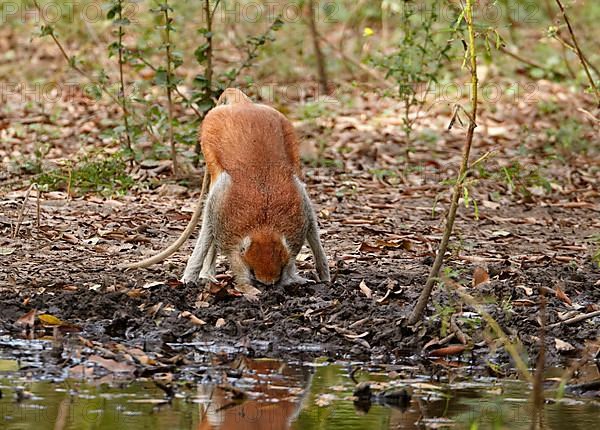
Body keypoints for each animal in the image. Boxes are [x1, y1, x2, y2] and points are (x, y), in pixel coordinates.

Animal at [126, 88, 330, 288]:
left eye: (278, 275)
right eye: (252, 273)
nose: (266, 287)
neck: (264, 225)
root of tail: (244, 105)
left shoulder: (299, 213)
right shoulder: (222, 207)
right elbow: (210, 218)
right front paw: (190, 277)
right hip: (209, 134)